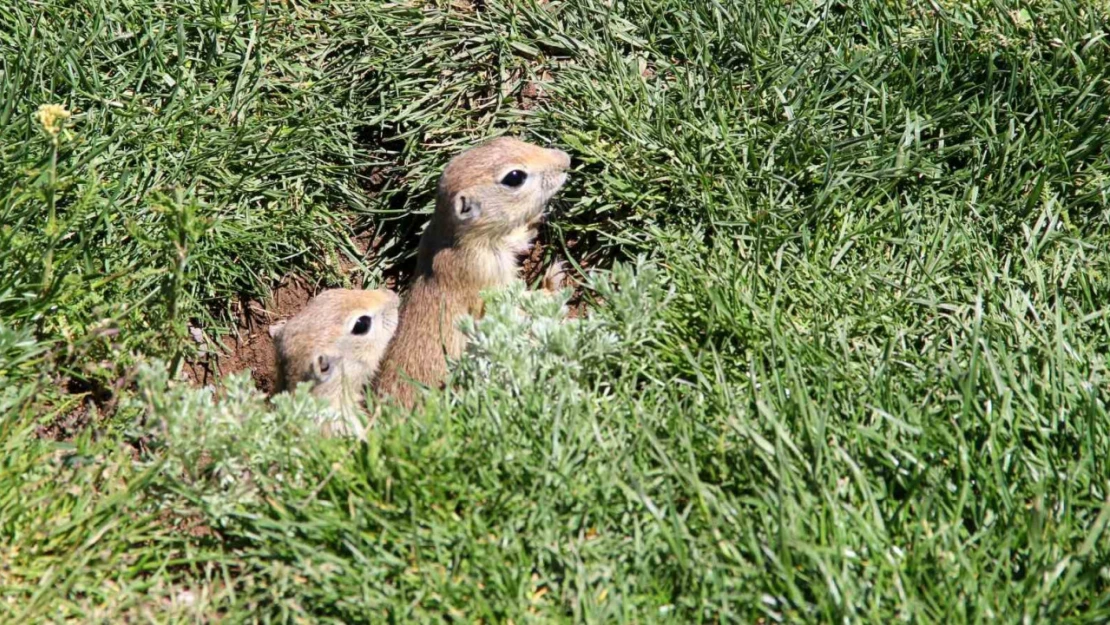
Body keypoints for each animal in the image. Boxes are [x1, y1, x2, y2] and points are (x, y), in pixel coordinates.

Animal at [379, 137, 577, 408]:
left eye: (508, 140)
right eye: (514, 177)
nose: (565, 159)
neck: (453, 236)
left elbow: (515, 241)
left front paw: (537, 219)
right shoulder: (484, 273)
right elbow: (514, 302)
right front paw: (552, 281)